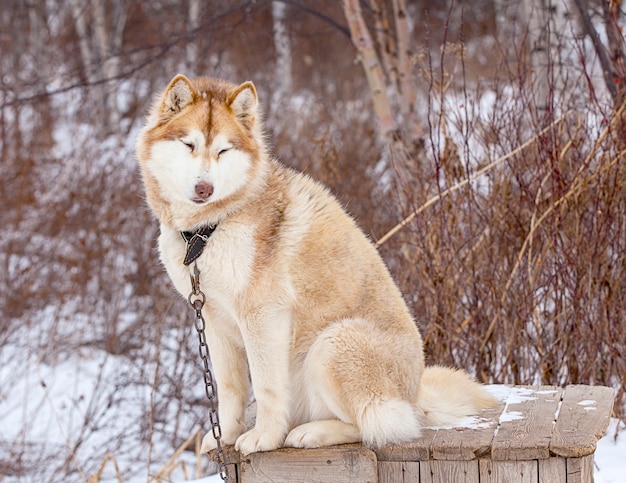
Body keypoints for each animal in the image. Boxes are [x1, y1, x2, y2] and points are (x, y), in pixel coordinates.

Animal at [134, 73, 494, 456]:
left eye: (223, 150)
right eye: (188, 144)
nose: (204, 188)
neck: (207, 231)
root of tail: (415, 395)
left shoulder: (264, 316)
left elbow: (265, 388)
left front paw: (264, 438)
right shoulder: (212, 317)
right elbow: (230, 391)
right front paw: (225, 437)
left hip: (333, 343)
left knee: (382, 424)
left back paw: (313, 433)